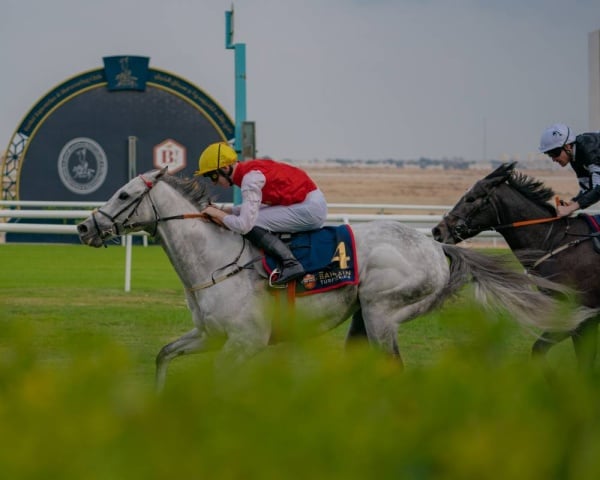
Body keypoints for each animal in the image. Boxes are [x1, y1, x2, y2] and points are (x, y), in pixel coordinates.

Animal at [77, 167, 580, 388]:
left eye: (122, 194)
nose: (84, 227)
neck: (215, 260)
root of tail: (437, 246)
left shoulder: (244, 341)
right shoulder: (210, 335)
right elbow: (164, 355)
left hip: (381, 311)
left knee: (392, 368)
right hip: (362, 316)